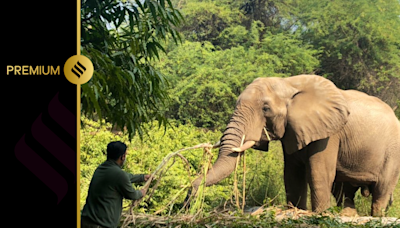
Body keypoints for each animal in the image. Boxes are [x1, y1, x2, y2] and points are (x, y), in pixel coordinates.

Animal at [191, 74, 400, 216]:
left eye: (265, 109)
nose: (189, 194)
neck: (288, 84)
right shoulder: (292, 130)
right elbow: (292, 174)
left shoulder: (330, 133)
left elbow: (318, 173)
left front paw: (319, 215)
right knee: (343, 191)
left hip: (393, 153)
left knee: (380, 192)